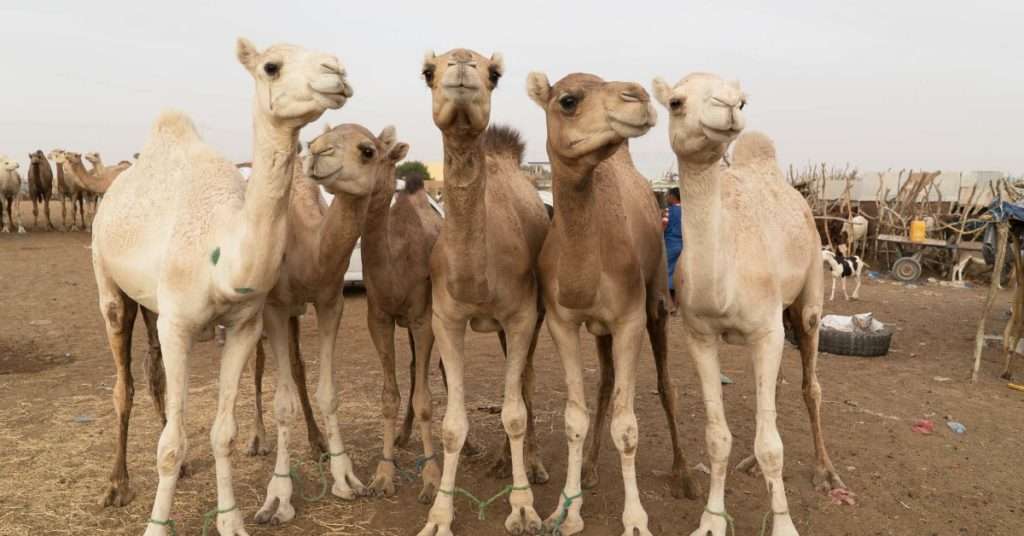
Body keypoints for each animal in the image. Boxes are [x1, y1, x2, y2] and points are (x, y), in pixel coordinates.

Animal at [90, 38, 351, 536]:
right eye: (271, 66)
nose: (338, 71)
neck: (221, 254)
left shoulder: (245, 324)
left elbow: (223, 434)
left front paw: (231, 521)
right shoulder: (178, 325)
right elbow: (170, 444)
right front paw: (157, 526)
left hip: (153, 305)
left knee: (153, 374)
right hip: (109, 283)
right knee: (122, 385)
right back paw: (115, 485)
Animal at [416, 49, 550, 536]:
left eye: (494, 73)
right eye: (428, 71)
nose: (460, 65)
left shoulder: (522, 315)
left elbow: (514, 413)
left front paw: (524, 508)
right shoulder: (446, 319)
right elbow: (453, 423)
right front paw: (438, 516)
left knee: (527, 382)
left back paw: (533, 466)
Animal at [526, 71, 680, 536]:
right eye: (568, 101)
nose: (639, 97)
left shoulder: (629, 319)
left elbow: (627, 426)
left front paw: (636, 521)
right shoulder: (561, 321)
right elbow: (574, 418)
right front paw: (566, 511)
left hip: (656, 301)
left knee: (666, 384)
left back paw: (684, 477)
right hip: (600, 331)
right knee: (606, 383)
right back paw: (591, 469)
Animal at [651, 72, 846, 536]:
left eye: (742, 99)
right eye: (675, 102)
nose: (728, 108)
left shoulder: (766, 329)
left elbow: (772, 445)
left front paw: (784, 525)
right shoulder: (699, 335)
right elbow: (717, 438)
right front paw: (710, 520)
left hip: (808, 295)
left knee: (811, 385)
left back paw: (826, 472)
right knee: (774, 391)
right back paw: (753, 467)